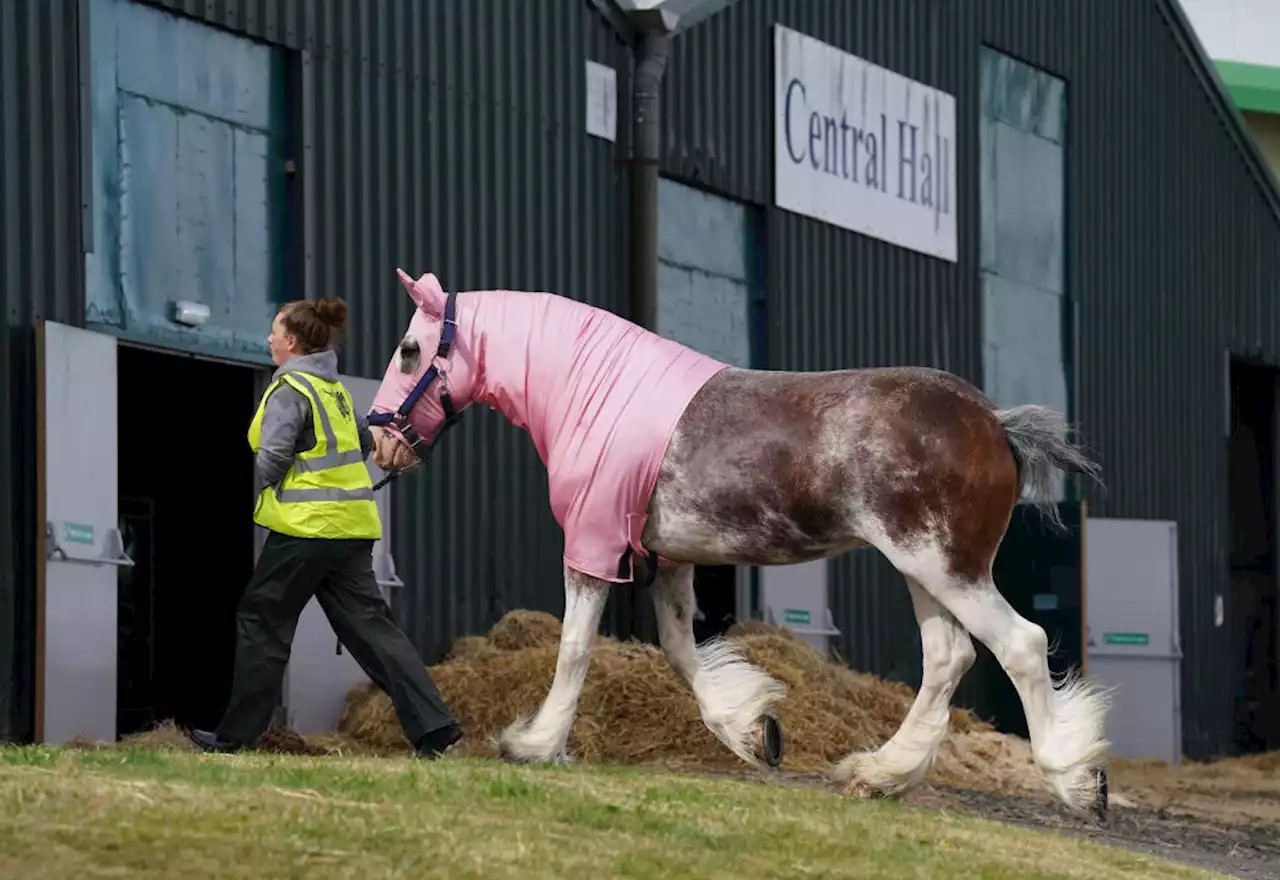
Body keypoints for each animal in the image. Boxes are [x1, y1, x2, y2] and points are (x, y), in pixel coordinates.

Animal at [371, 268, 1111, 818]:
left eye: (409, 349)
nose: (379, 438)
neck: (594, 394)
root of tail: (995, 421)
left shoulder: (593, 546)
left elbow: (575, 649)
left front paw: (535, 743)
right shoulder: (667, 560)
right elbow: (679, 650)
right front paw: (754, 732)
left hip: (943, 566)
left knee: (1021, 645)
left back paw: (1076, 781)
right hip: (924, 571)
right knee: (948, 658)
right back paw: (879, 774)